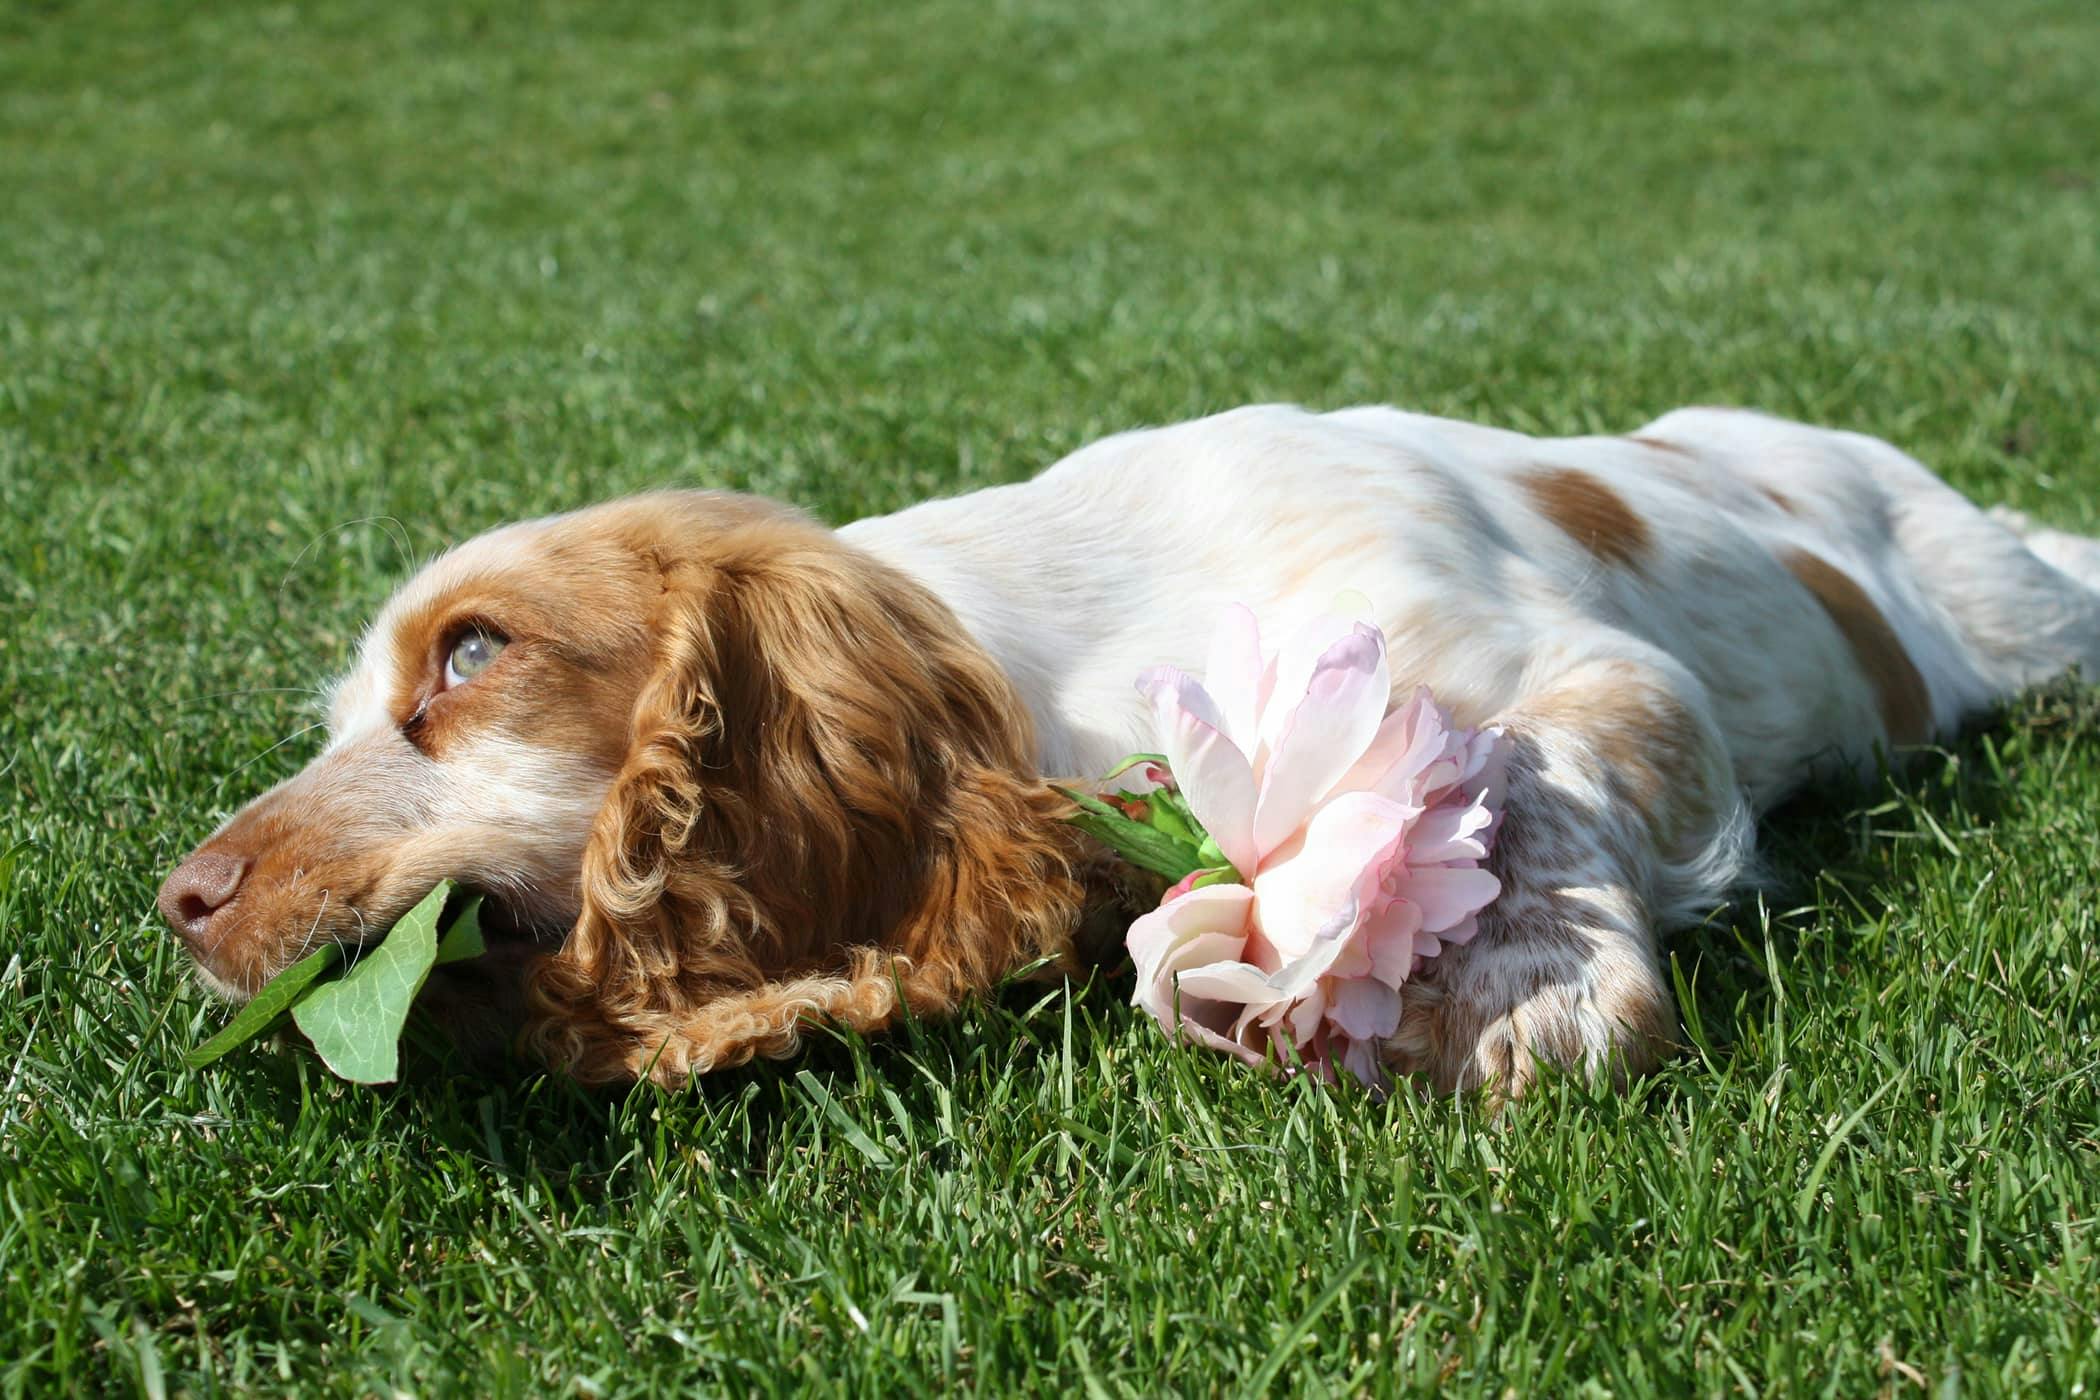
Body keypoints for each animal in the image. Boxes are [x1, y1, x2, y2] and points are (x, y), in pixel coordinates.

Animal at [159, 405, 2100, 1091]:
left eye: (474, 654)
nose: (180, 898)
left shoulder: (1582, 664)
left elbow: (1519, 775)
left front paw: (1515, 988)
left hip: (2017, 620)